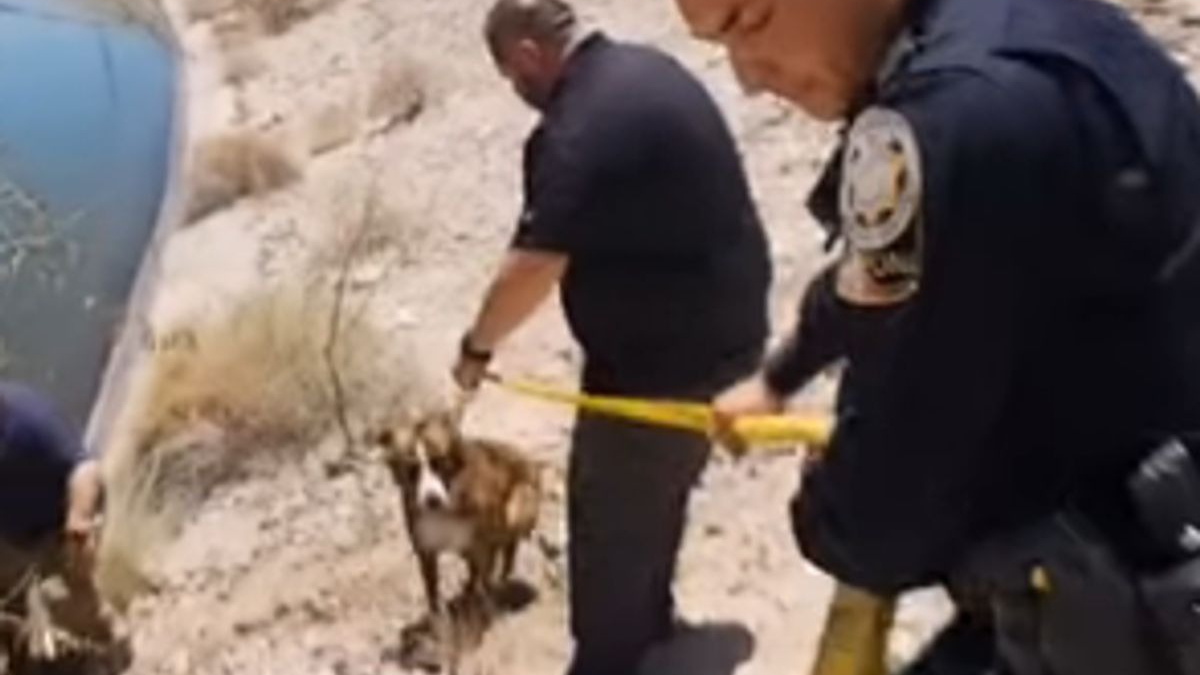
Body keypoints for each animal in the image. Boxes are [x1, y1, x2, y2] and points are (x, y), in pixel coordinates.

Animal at [376, 408, 542, 612]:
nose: (432, 500)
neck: (446, 510)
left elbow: (485, 584)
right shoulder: (426, 553)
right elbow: (433, 595)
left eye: (440, 463)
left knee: (508, 547)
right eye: (411, 470)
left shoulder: (482, 543)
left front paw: (485, 608)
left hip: (518, 506)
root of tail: (527, 458)